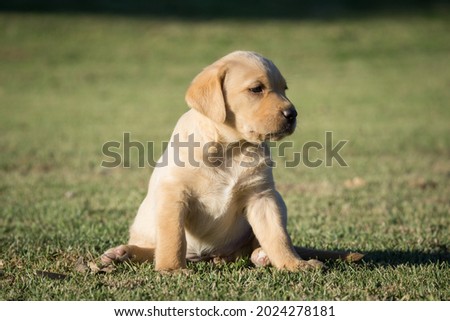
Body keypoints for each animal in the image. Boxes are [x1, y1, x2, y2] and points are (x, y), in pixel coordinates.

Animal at [102, 51, 362, 272]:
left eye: (284, 89)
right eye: (256, 89)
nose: (293, 114)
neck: (230, 149)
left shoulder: (262, 197)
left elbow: (278, 237)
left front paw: (293, 264)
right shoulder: (174, 194)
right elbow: (172, 238)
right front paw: (171, 269)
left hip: (278, 201)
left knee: (250, 248)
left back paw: (260, 255)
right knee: (155, 247)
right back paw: (121, 253)